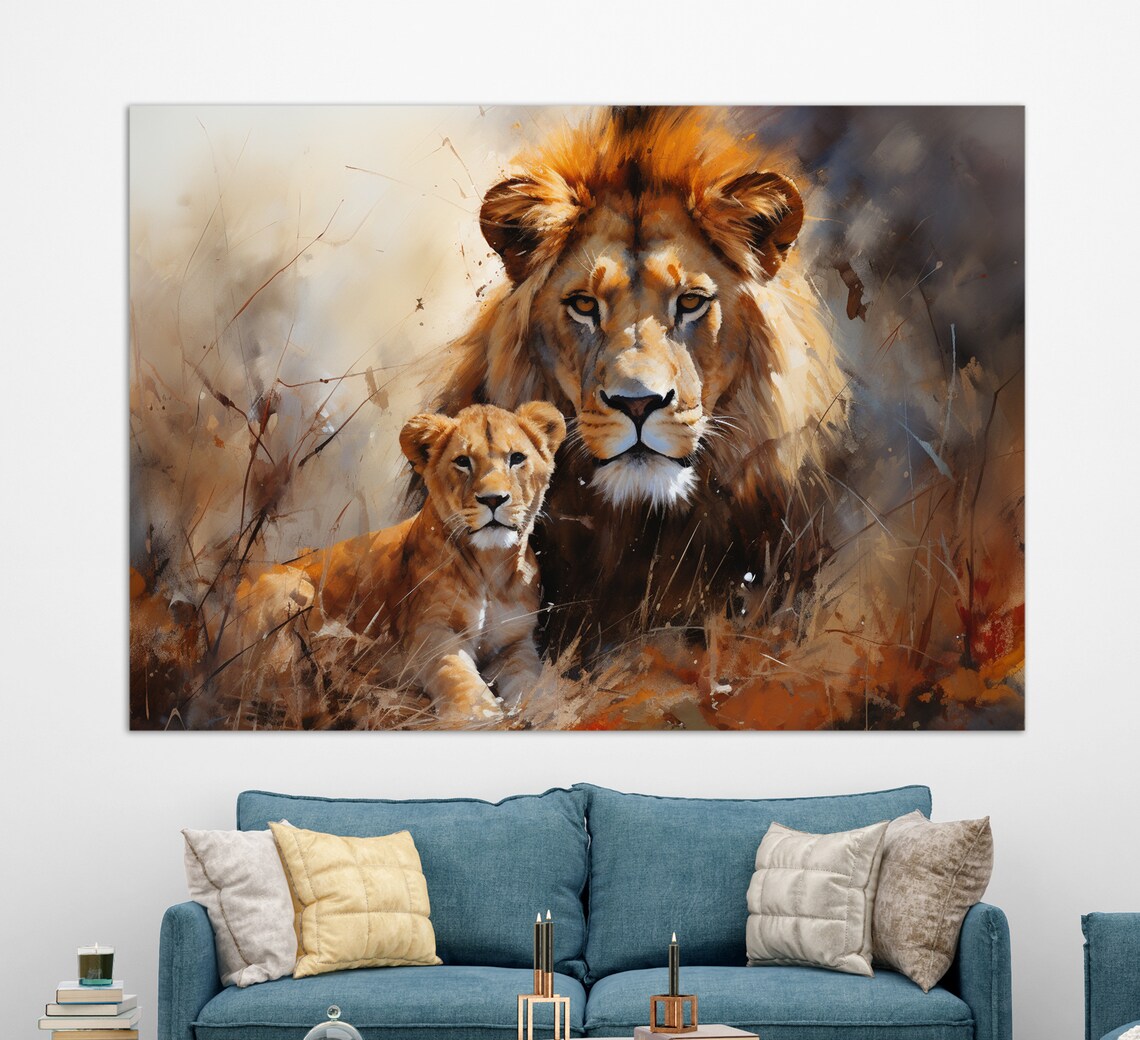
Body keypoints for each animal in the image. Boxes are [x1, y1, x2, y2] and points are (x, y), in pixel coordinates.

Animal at [232, 401, 566, 725]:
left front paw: (538, 707)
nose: (493, 499)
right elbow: (458, 676)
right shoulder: (429, 631)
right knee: (273, 681)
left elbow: (529, 681)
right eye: (462, 461)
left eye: (516, 458)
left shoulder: (517, 642)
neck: (491, 566)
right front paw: (478, 715)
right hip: (293, 593)